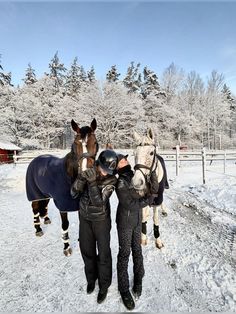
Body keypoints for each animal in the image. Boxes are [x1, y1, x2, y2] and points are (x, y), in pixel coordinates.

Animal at [26, 118, 98, 255]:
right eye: (75, 143)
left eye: (95, 142)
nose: (86, 173)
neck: (70, 176)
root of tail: (35, 159)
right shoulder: (63, 206)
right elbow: (65, 225)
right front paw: (66, 247)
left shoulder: (78, 205)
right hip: (35, 195)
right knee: (35, 210)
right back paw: (38, 229)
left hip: (45, 194)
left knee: (44, 206)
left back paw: (46, 219)